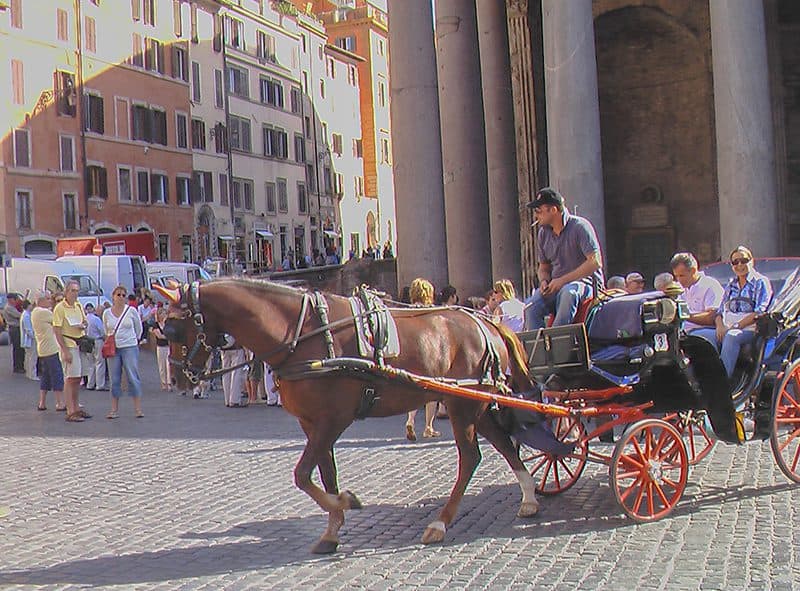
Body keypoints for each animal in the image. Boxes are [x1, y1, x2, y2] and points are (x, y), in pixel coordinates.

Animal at [156, 280, 540, 552]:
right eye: (161, 327)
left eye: (173, 327)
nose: (178, 377)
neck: (300, 335)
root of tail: (484, 321)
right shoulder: (311, 423)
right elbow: (324, 474)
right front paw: (332, 528)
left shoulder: (334, 420)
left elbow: (302, 474)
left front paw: (346, 502)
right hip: (473, 402)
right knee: (504, 444)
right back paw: (530, 498)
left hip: (462, 406)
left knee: (471, 457)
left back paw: (440, 523)